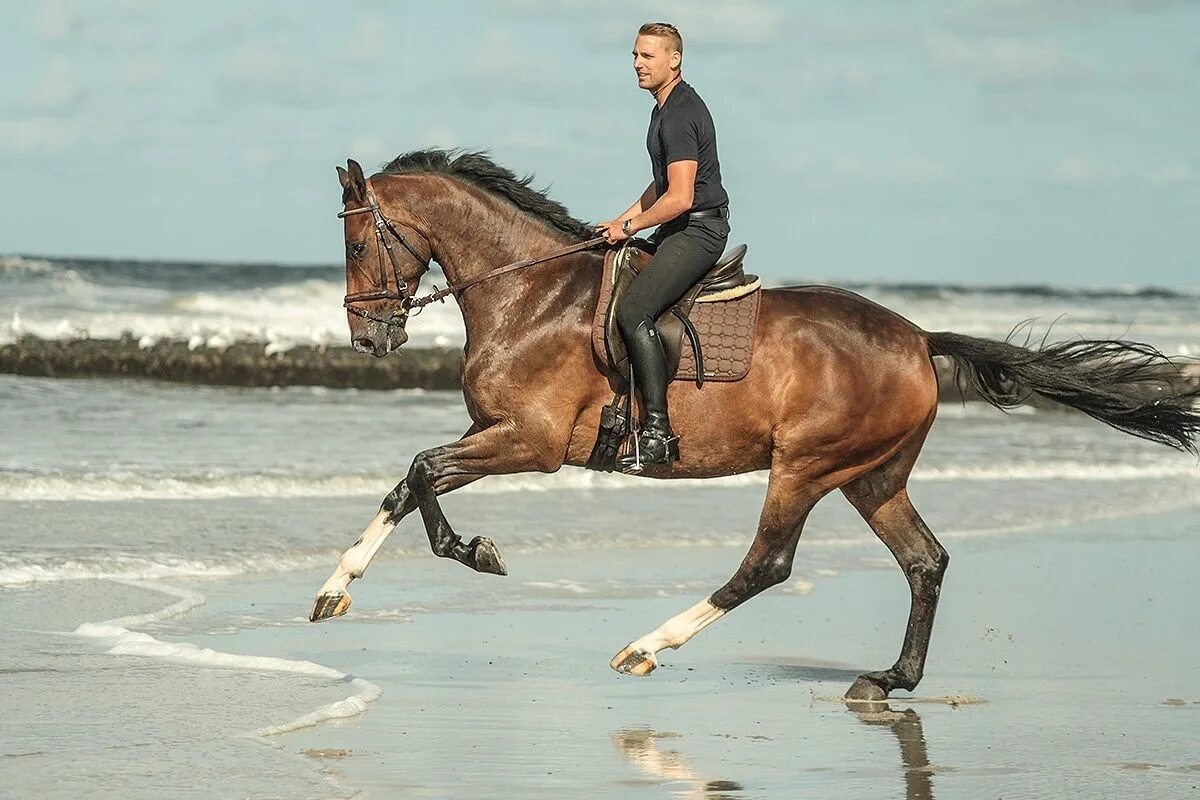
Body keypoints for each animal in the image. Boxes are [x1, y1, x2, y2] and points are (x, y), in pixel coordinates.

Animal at [312, 149, 1200, 700]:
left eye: (355, 243)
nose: (368, 339)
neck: (529, 294)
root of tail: (920, 338)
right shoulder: (500, 435)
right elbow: (406, 482)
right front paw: (333, 591)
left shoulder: (530, 441)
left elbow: (422, 471)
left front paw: (475, 552)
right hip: (872, 476)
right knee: (926, 561)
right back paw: (891, 678)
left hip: (806, 468)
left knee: (767, 565)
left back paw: (647, 647)